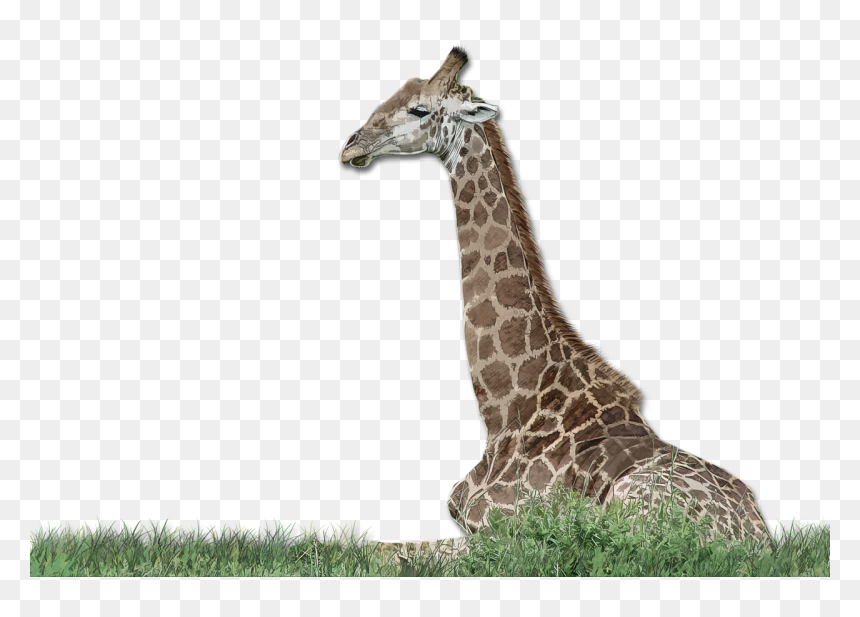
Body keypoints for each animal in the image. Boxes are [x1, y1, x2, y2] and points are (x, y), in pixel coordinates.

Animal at [339, 47, 773, 565]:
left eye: (419, 109)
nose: (351, 146)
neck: (508, 409)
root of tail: (759, 542)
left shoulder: (504, 533)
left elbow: (369, 548)